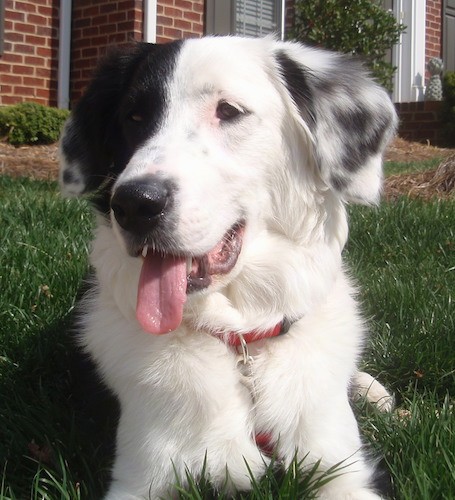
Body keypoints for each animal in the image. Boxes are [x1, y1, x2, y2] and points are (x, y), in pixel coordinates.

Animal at [59, 37, 396, 498]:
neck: (240, 339)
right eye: (133, 117)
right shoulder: (138, 478)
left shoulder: (341, 469)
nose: (133, 204)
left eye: (229, 111)